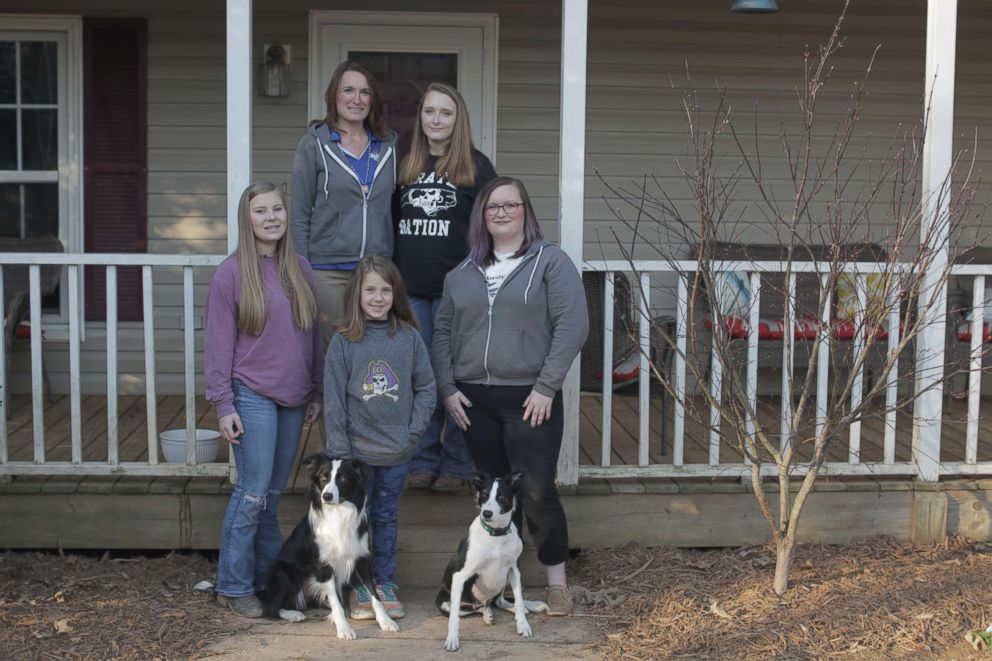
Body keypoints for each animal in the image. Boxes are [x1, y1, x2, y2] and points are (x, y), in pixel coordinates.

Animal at [264, 454, 404, 640]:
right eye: (324, 478)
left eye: (342, 478)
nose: (327, 496)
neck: (339, 513)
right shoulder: (324, 565)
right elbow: (336, 602)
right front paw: (344, 628)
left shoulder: (363, 559)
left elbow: (374, 593)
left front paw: (385, 621)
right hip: (285, 573)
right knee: (270, 607)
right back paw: (293, 614)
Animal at [438, 472, 552, 652]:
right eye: (484, 495)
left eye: (502, 498)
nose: (487, 513)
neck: (496, 534)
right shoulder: (460, 575)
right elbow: (454, 617)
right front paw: (452, 638)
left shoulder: (514, 569)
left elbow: (519, 599)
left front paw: (523, 624)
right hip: (445, 603)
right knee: (471, 610)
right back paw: (487, 614)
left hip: (503, 581)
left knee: (499, 602)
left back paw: (514, 609)